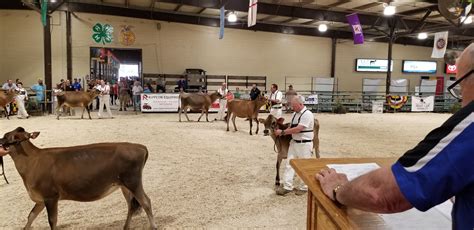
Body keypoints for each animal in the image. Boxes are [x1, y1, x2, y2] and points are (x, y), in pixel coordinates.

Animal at [0, 127, 157, 230]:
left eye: (6, 135)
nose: (0, 141)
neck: (32, 161)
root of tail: (139, 146)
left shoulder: (50, 197)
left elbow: (52, 220)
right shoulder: (40, 199)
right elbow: (31, 216)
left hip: (133, 182)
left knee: (146, 202)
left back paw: (153, 227)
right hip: (124, 185)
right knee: (132, 205)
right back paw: (125, 227)